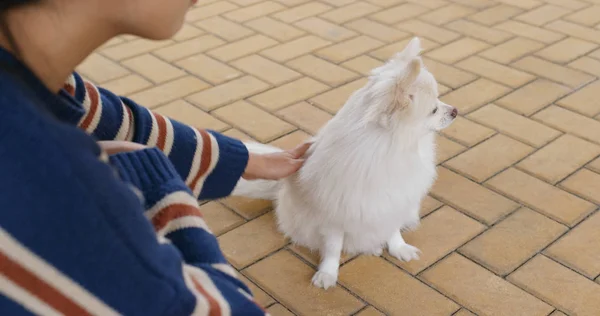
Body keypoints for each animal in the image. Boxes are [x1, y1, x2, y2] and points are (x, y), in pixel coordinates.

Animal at [232, 37, 458, 288]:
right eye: (434, 110)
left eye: (439, 101)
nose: (455, 111)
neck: (390, 151)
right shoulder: (334, 217)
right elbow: (333, 248)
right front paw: (328, 273)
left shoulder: (395, 204)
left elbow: (392, 230)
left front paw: (399, 248)